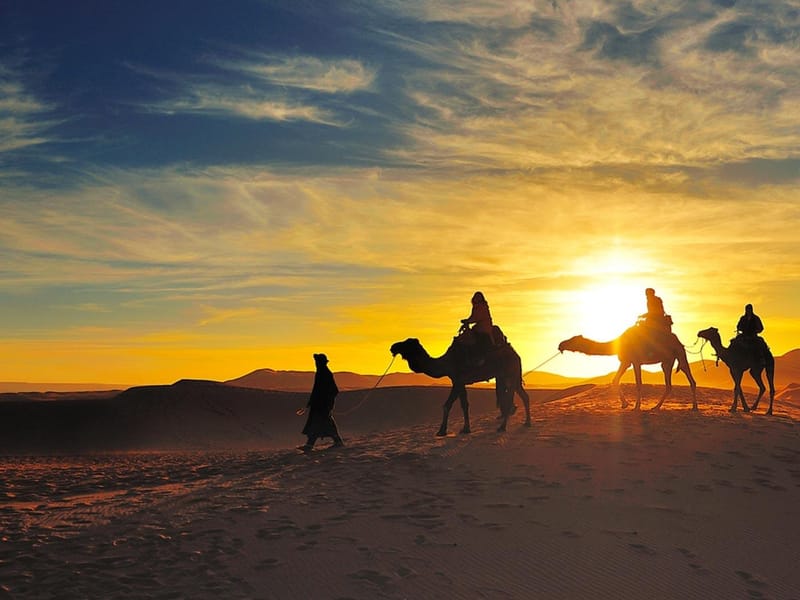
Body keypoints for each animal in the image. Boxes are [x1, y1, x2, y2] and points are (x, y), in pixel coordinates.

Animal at [390, 333, 531, 436]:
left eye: (407, 343)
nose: (393, 347)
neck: (446, 362)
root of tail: (516, 355)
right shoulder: (460, 382)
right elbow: (464, 405)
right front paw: (465, 429)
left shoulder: (457, 380)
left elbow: (447, 405)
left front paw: (442, 431)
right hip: (510, 376)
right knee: (524, 396)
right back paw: (527, 423)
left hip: (509, 374)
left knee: (509, 398)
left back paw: (502, 427)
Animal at [558, 325, 697, 410]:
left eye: (573, 340)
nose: (561, 345)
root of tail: (678, 341)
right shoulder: (626, 361)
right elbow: (615, 380)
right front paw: (625, 404)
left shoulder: (636, 361)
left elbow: (639, 383)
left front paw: (636, 407)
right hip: (667, 361)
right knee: (669, 384)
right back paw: (656, 407)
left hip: (679, 353)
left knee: (688, 376)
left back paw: (694, 407)